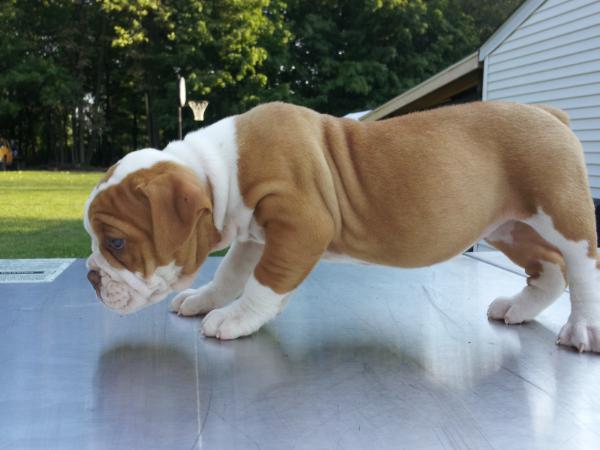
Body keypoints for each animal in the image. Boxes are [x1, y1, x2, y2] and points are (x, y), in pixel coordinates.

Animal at [83, 101, 600, 352]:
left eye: (116, 242)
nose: (90, 276)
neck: (220, 170)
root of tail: (550, 114)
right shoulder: (255, 234)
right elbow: (231, 273)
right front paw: (204, 299)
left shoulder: (301, 223)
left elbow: (264, 284)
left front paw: (234, 319)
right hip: (509, 226)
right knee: (548, 271)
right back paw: (518, 307)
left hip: (562, 214)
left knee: (581, 267)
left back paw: (584, 329)